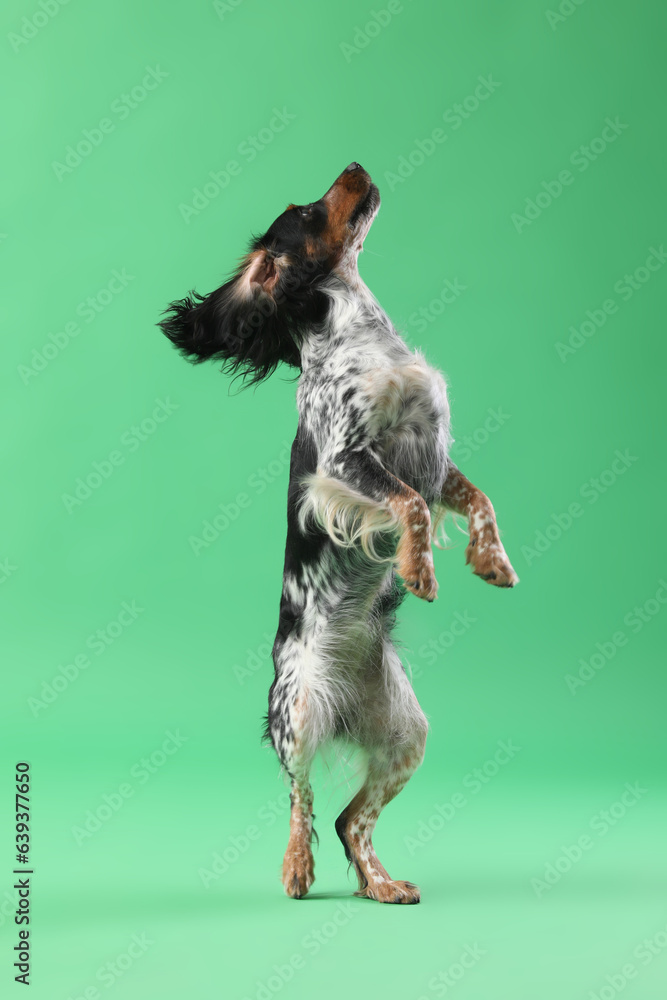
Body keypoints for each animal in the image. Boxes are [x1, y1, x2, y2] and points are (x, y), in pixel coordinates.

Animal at [159, 160, 520, 904]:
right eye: (303, 211)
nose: (355, 165)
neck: (361, 333)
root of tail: (345, 706)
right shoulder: (346, 462)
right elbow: (408, 507)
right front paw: (419, 570)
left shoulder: (432, 461)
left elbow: (478, 500)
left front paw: (492, 562)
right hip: (298, 712)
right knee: (302, 802)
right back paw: (296, 868)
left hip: (408, 735)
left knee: (351, 820)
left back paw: (381, 884)